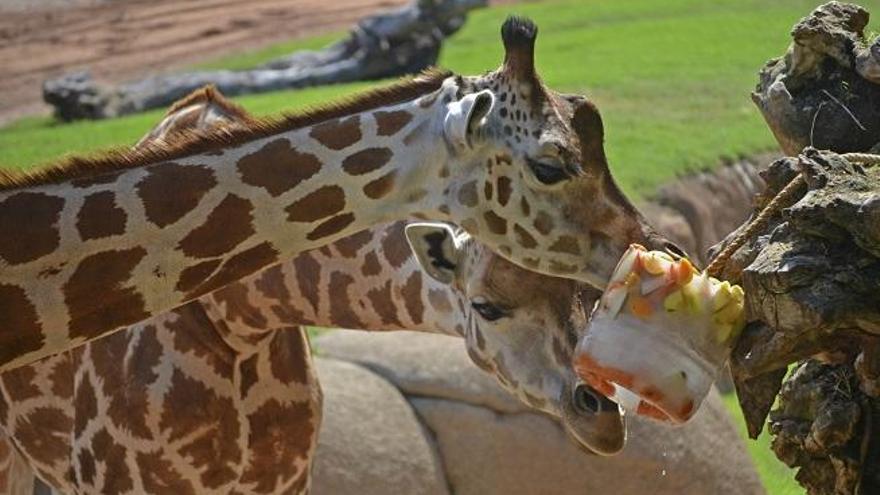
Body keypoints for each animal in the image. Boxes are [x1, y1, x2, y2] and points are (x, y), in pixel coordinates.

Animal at [0, 87, 624, 494]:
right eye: (486, 306)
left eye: (584, 293)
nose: (605, 416)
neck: (240, 313)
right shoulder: (120, 481)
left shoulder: (283, 478)